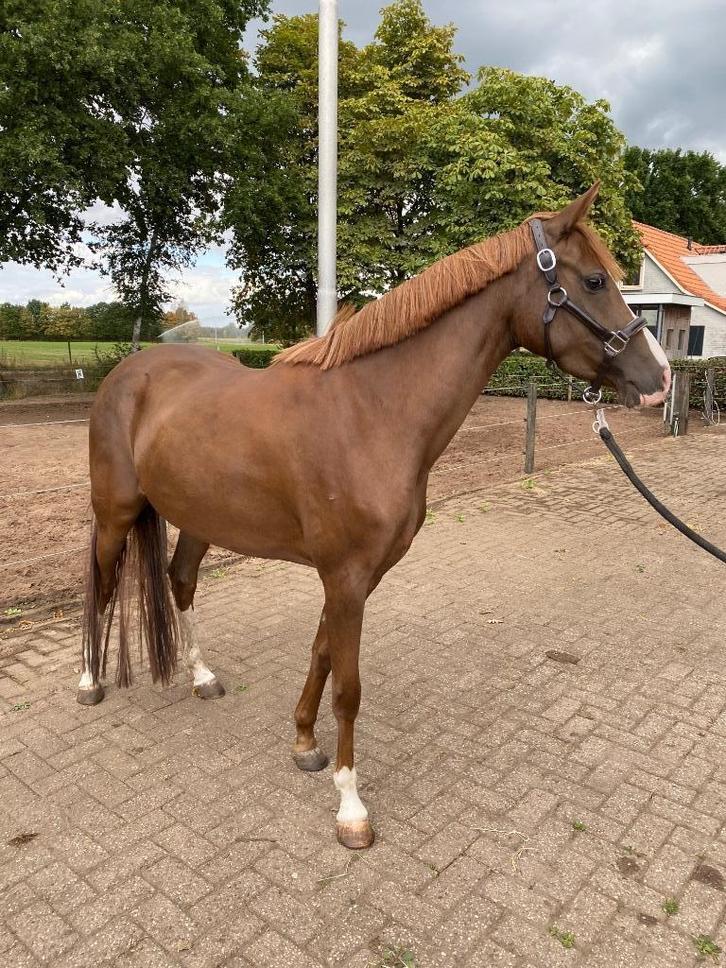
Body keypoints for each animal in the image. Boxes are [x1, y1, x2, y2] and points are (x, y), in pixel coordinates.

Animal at [78, 184, 670, 849]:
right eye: (595, 280)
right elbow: (350, 688)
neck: (373, 411)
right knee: (102, 584)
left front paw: (305, 744)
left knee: (179, 582)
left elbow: (321, 655)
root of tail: (129, 371)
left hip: (199, 519)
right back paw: (90, 683)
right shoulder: (345, 577)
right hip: (115, 512)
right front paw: (350, 807)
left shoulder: (355, 578)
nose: (661, 378)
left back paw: (201, 676)